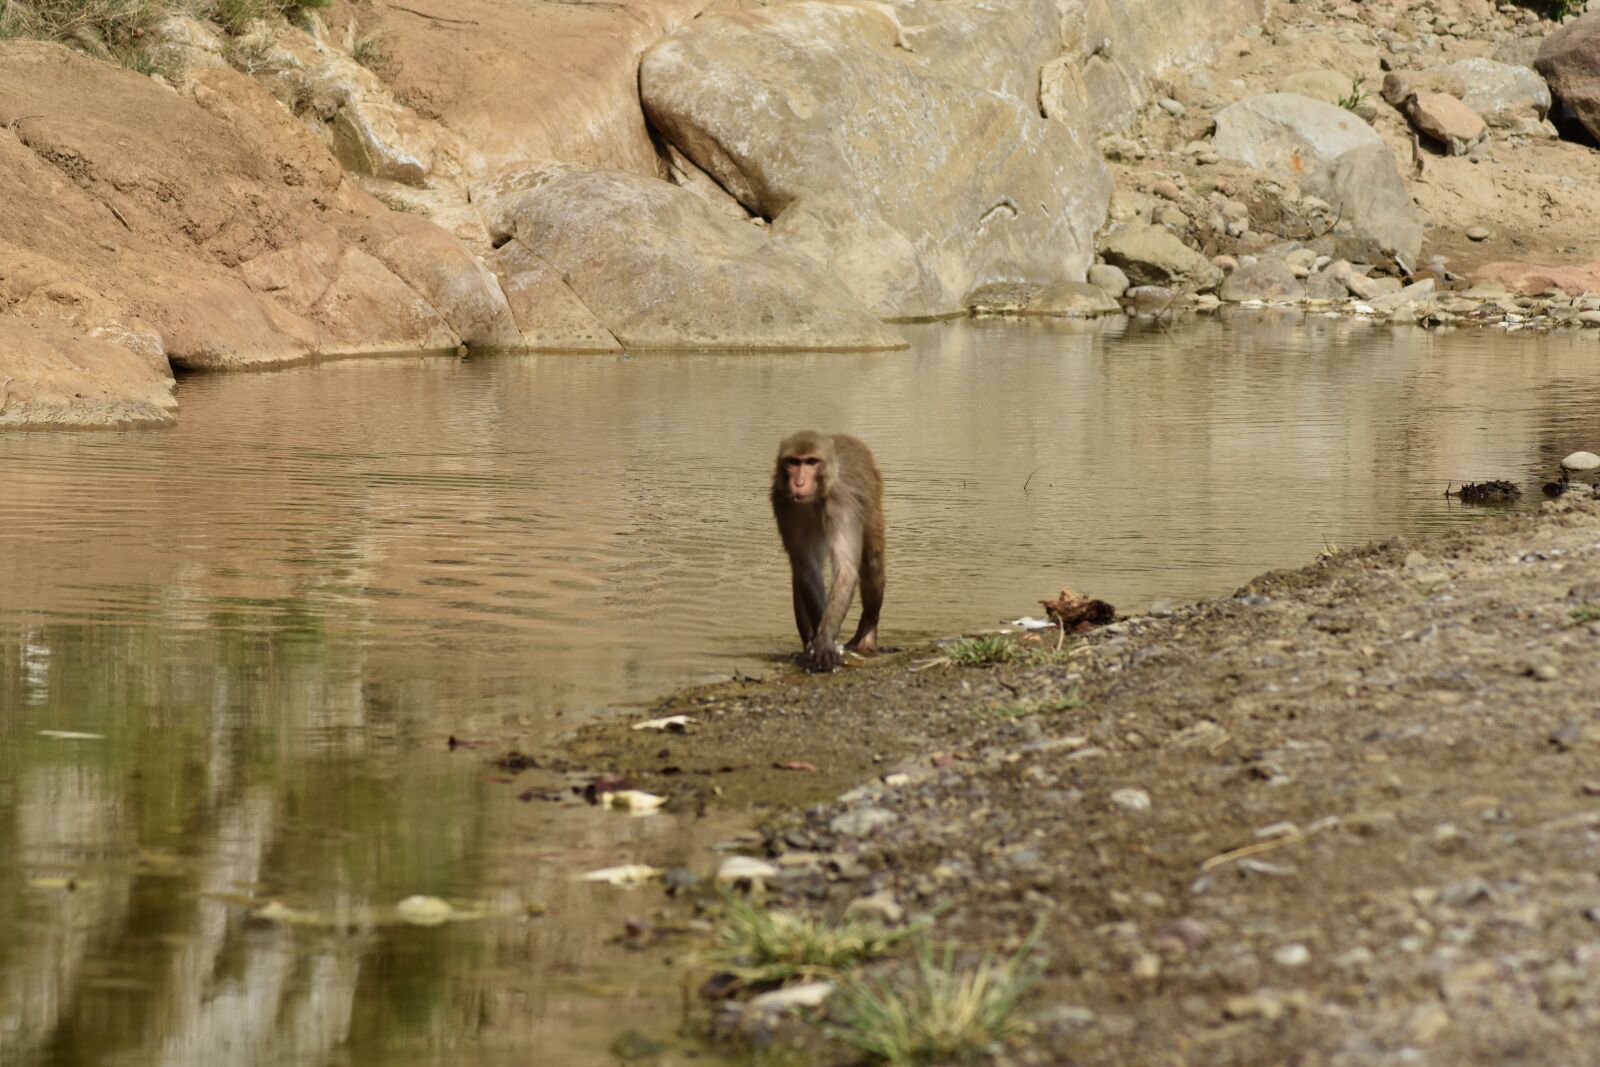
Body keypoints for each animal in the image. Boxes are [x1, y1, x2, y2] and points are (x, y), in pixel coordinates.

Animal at [770, 431, 886, 672]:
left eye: (811, 462)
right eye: (794, 462)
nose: (799, 482)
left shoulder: (842, 503)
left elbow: (846, 569)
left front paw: (824, 640)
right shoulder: (784, 503)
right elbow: (806, 567)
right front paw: (819, 638)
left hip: (873, 503)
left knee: (872, 563)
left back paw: (867, 631)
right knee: (798, 574)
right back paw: (807, 642)